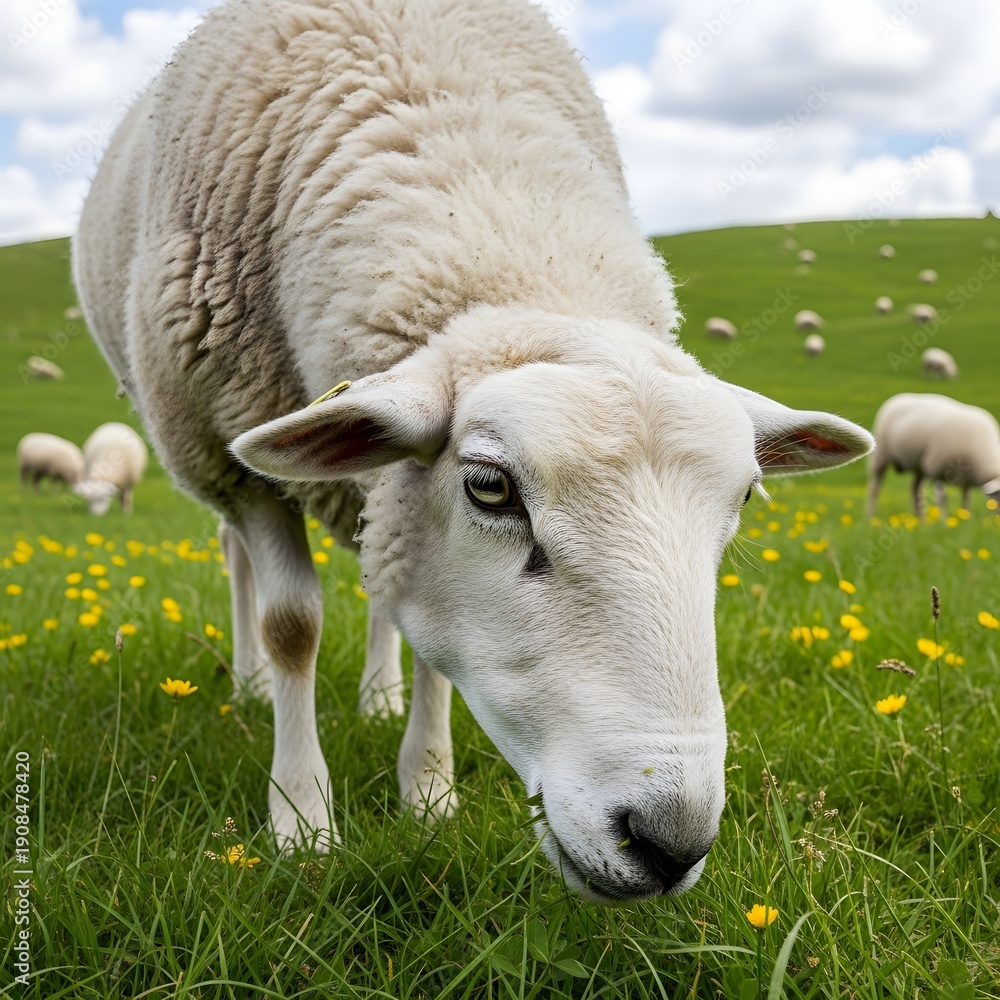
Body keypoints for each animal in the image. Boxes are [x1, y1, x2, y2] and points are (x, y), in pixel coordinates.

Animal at [73, 0, 872, 902]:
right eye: (491, 487)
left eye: (741, 502)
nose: (668, 842)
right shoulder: (239, 462)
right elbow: (293, 627)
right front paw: (303, 822)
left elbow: (430, 641)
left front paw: (426, 796)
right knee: (237, 559)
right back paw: (247, 687)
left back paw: (378, 699)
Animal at [868, 393, 1000, 518]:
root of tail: (897, 397)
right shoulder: (937, 471)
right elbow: (942, 499)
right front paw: (943, 521)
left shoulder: (967, 480)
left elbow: (966, 499)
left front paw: (966, 518)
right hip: (880, 456)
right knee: (875, 488)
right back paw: (870, 516)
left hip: (919, 465)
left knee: (915, 488)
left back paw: (921, 519)